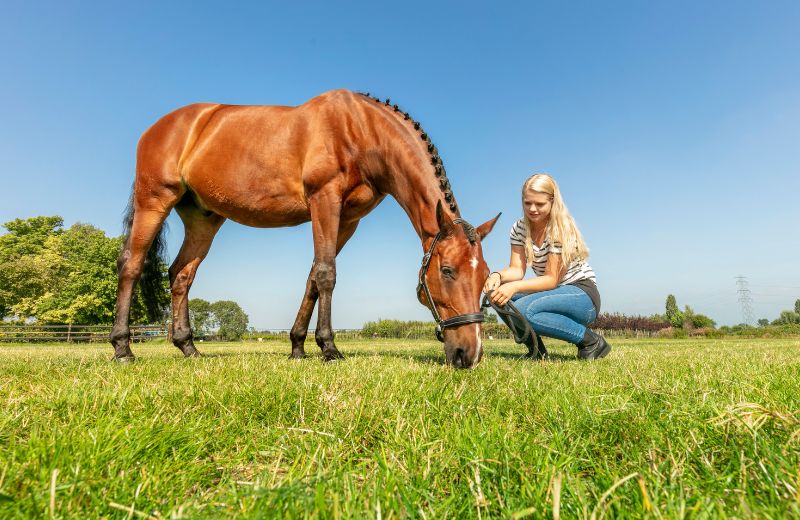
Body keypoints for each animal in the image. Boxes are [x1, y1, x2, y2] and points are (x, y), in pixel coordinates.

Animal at [111, 88, 500, 366]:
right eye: (447, 271)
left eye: (484, 277)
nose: (470, 354)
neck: (362, 131)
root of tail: (161, 126)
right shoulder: (324, 201)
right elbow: (327, 273)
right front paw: (328, 347)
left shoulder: (347, 220)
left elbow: (313, 277)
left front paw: (298, 346)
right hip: (154, 201)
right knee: (131, 264)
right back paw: (123, 349)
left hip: (203, 219)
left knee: (181, 274)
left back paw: (188, 347)